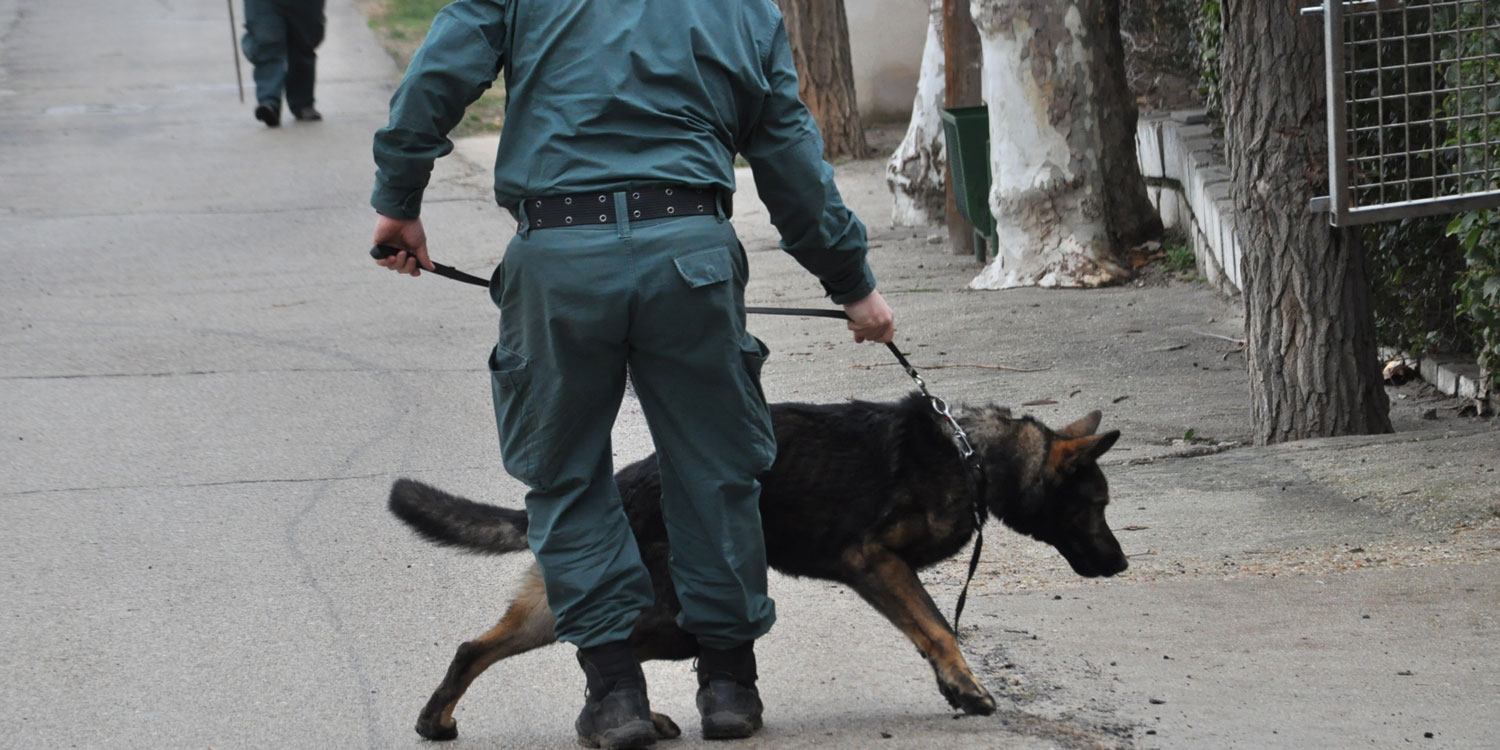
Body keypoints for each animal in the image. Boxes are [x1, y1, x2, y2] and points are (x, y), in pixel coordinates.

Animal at [387, 393, 1128, 738]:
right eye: (1097, 505)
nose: (1121, 565)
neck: (974, 456)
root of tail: (615, 491)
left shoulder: (886, 569)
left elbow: (934, 629)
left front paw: (957, 686)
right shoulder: (876, 562)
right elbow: (939, 628)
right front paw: (966, 687)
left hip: (602, 613)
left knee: (490, 648)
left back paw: (442, 720)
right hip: (668, 616)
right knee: (588, 649)